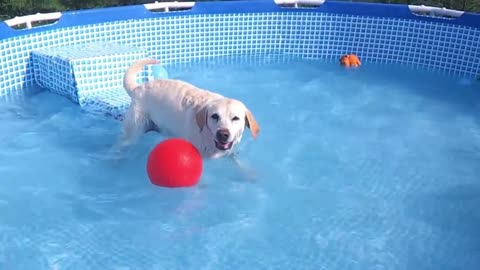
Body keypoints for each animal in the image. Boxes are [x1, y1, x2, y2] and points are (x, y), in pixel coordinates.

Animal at [121, 58, 262, 160]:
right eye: (214, 116)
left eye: (235, 118)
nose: (223, 134)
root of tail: (137, 88)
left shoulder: (230, 152)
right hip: (134, 130)